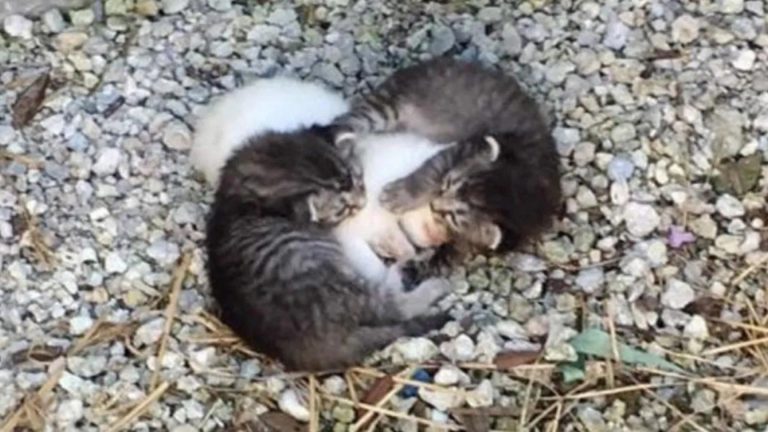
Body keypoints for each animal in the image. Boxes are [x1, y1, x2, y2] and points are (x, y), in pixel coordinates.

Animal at [332, 58, 564, 256]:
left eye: (451, 216)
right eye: (446, 185)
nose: (435, 206)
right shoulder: (468, 146)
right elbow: (430, 172)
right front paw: (400, 195)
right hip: (388, 107)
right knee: (345, 122)